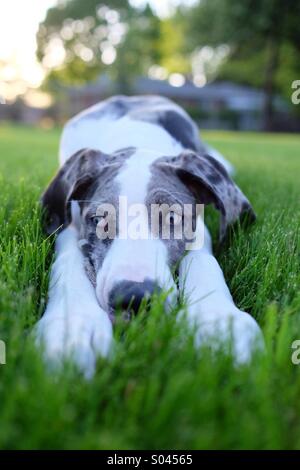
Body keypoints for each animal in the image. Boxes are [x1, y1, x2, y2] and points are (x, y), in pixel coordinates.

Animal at [36, 95, 264, 378]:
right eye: (99, 220)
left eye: (172, 218)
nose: (135, 298)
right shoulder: (68, 224)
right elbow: (68, 260)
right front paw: (72, 326)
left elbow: (203, 260)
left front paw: (217, 321)